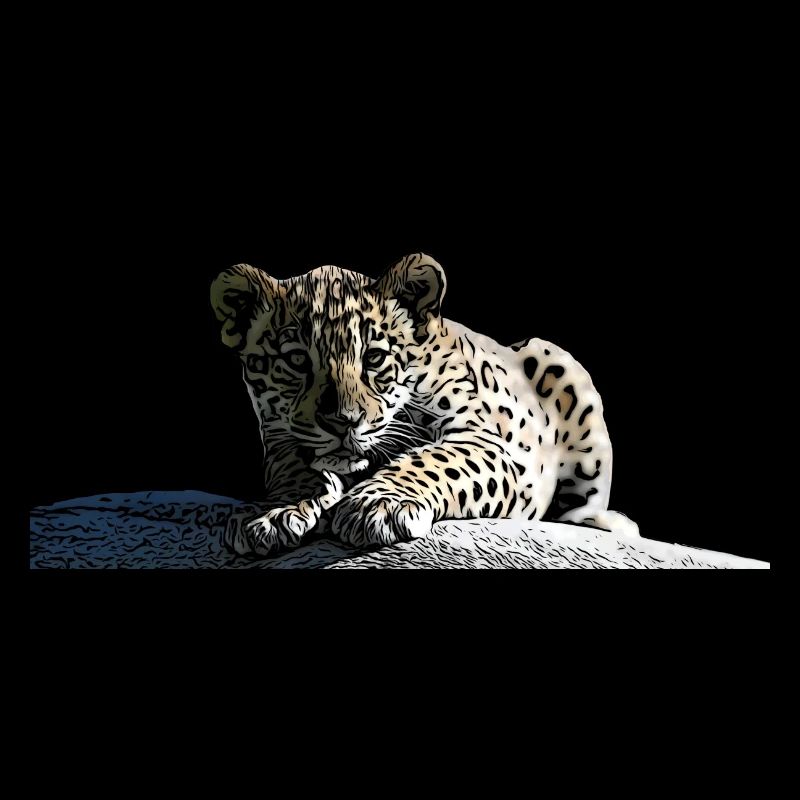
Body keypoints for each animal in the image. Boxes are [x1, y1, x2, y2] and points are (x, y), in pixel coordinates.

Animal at [210, 252, 638, 557]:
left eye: (374, 358)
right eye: (297, 360)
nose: (343, 421)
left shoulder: (489, 441)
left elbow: (432, 459)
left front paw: (378, 505)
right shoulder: (278, 439)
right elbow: (293, 466)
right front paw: (275, 511)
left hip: (560, 366)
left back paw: (604, 522)